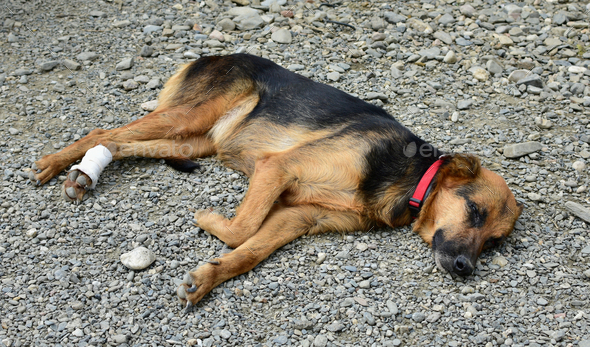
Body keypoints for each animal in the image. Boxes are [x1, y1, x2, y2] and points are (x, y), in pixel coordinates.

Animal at [30, 53, 524, 310]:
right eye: (473, 211)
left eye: (494, 242)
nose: (465, 268)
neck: (411, 180)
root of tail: (213, 54)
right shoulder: (277, 168)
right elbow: (242, 228)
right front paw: (209, 220)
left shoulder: (298, 218)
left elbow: (249, 250)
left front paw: (207, 278)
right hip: (187, 117)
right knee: (101, 132)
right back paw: (56, 165)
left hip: (190, 143)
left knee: (120, 144)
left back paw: (84, 173)